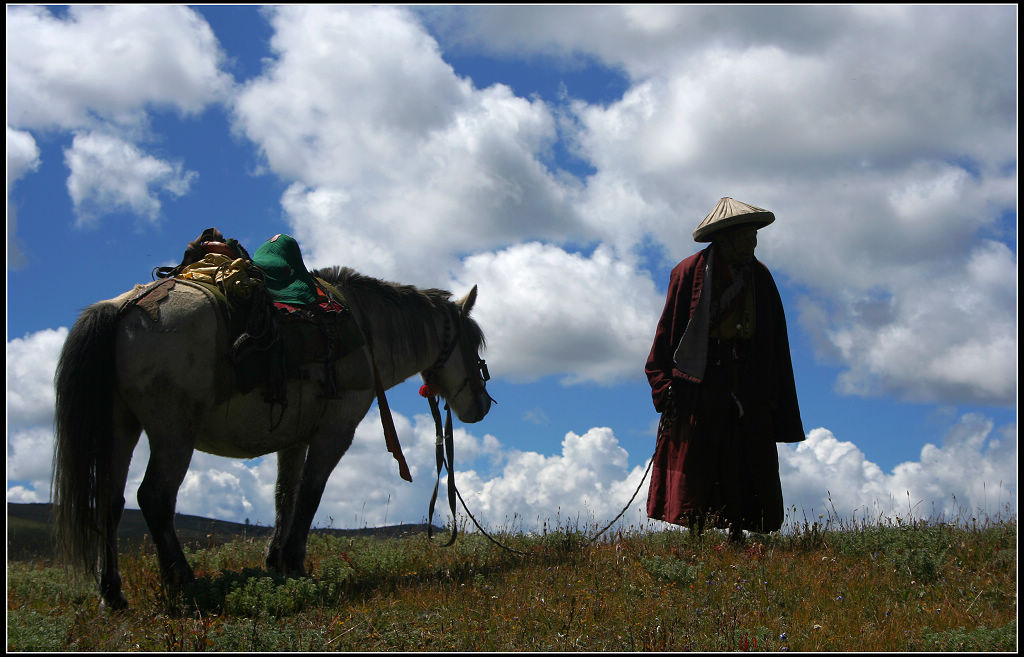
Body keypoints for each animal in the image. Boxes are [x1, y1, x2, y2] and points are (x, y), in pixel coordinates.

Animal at [51, 264, 491, 609]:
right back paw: (184, 581)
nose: (483, 406)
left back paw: (112, 593)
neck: (366, 332)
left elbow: (285, 495)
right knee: (154, 498)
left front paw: (276, 561)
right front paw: (295, 562)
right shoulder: (335, 430)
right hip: (173, 434)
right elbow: (311, 494)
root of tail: (124, 308)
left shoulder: (294, 438)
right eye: (473, 345)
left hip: (120, 428)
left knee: (110, 501)